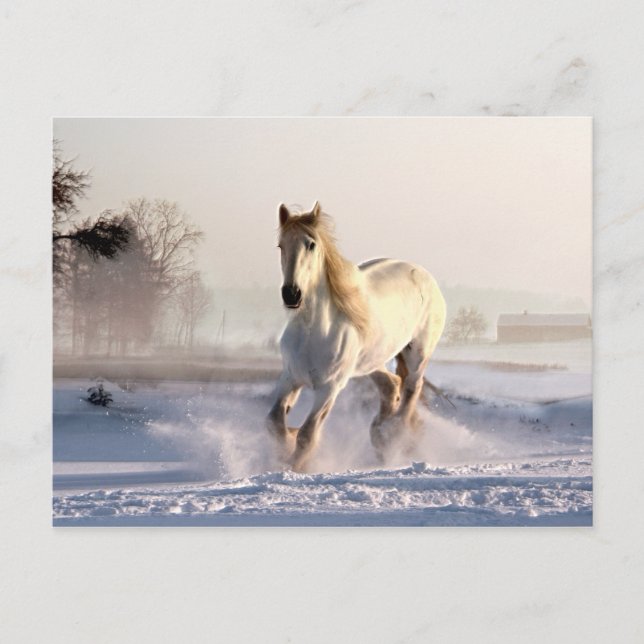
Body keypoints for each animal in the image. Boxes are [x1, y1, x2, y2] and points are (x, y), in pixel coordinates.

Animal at [266, 202, 446, 472]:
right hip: (370, 362)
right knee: (391, 384)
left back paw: (392, 434)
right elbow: (275, 422)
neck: (312, 331)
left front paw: (295, 467)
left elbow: (307, 435)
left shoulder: (329, 388)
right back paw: (380, 435)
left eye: (311, 244)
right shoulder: (290, 378)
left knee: (411, 389)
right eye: (281, 245)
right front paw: (286, 445)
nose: (292, 294)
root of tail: (425, 276)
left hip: (417, 354)